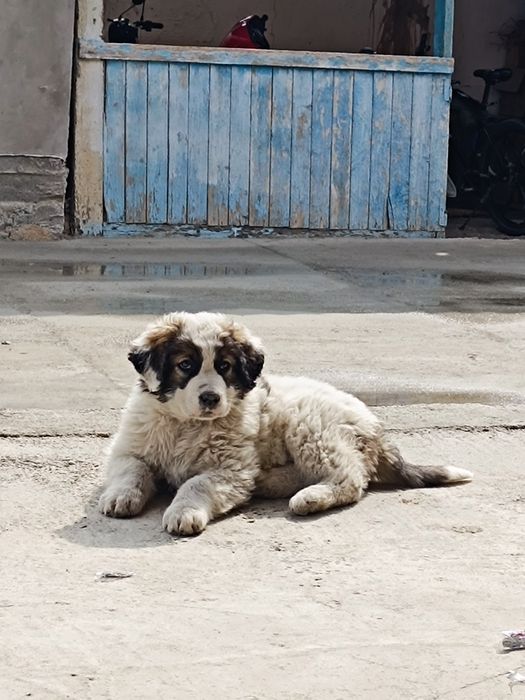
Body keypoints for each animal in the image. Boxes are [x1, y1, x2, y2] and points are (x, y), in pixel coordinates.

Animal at [99, 312, 472, 535]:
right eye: (186, 365)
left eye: (224, 367)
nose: (210, 398)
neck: (185, 424)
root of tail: (374, 426)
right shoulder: (130, 448)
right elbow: (132, 470)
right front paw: (120, 496)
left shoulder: (230, 469)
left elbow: (197, 484)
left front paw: (183, 512)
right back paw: (271, 482)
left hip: (310, 425)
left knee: (351, 478)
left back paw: (310, 498)